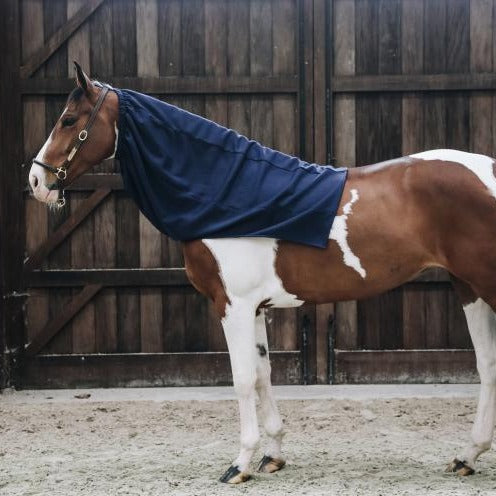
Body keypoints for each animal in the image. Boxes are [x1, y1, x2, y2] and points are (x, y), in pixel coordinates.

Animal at [28, 63, 496, 484]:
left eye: (69, 120)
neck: (227, 193)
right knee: (487, 364)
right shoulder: (254, 308)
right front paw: (273, 455)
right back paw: (466, 456)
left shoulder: (232, 306)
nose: (36, 180)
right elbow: (264, 373)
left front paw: (240, 464)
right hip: (468, 287)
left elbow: (242, 380)